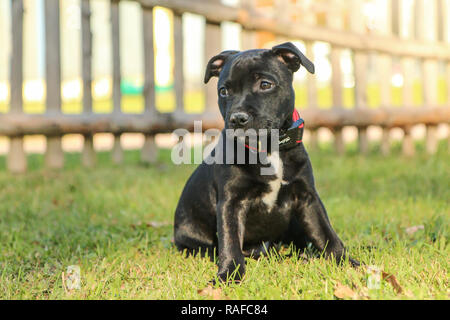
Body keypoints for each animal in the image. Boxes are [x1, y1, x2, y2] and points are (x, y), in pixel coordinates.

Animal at [174, 42, 360, 282]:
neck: (269, 148)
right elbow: (230, 242)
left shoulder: (307, 197)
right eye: (224, 91)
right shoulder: (230, 203)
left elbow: (325, 233)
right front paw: (229, 275)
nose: (237, 118)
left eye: (265, 84)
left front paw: (348, 263)